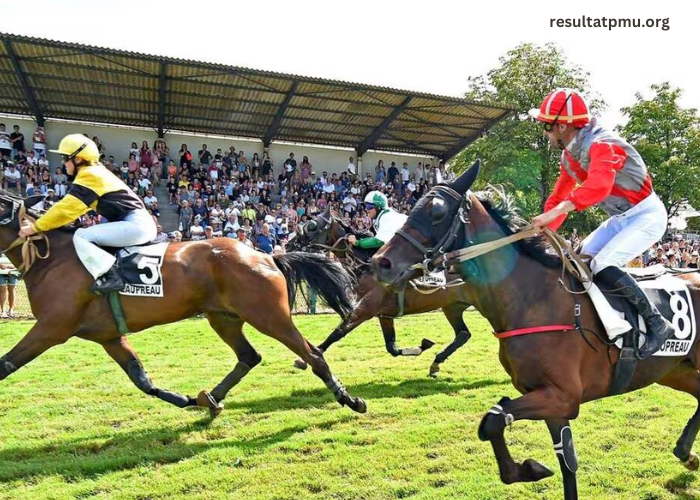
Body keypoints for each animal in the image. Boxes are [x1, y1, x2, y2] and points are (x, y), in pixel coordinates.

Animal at [0, 191, 370, 418]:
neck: (53, 258)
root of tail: (266, 256)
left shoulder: (52, 328)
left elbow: (5, 365)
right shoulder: (109, 336)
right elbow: (142, 380)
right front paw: (187, 399)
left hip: (269, 316)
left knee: (312, 353)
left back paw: (349, 399)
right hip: (224, 317)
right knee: (249, 357)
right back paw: (211, 399)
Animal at [288, 206, 474, 376]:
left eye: (312, 226)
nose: (289, 244)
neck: (367, 268)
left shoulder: (365, 309)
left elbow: (338, 332)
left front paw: (307, 358)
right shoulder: (384, 314)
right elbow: (392, 347)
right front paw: (421, 346)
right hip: (452, 306)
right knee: (463, 334)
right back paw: (436, 363)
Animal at [374, 161, 700, 500]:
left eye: (436, 210)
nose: (381, 262)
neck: (531, 299)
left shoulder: (563, 396)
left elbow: (494, 419)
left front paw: (530, 468)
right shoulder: (549, 400)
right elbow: (542, 449)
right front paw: (528, 469)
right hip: (672, 369)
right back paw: (686, 453)